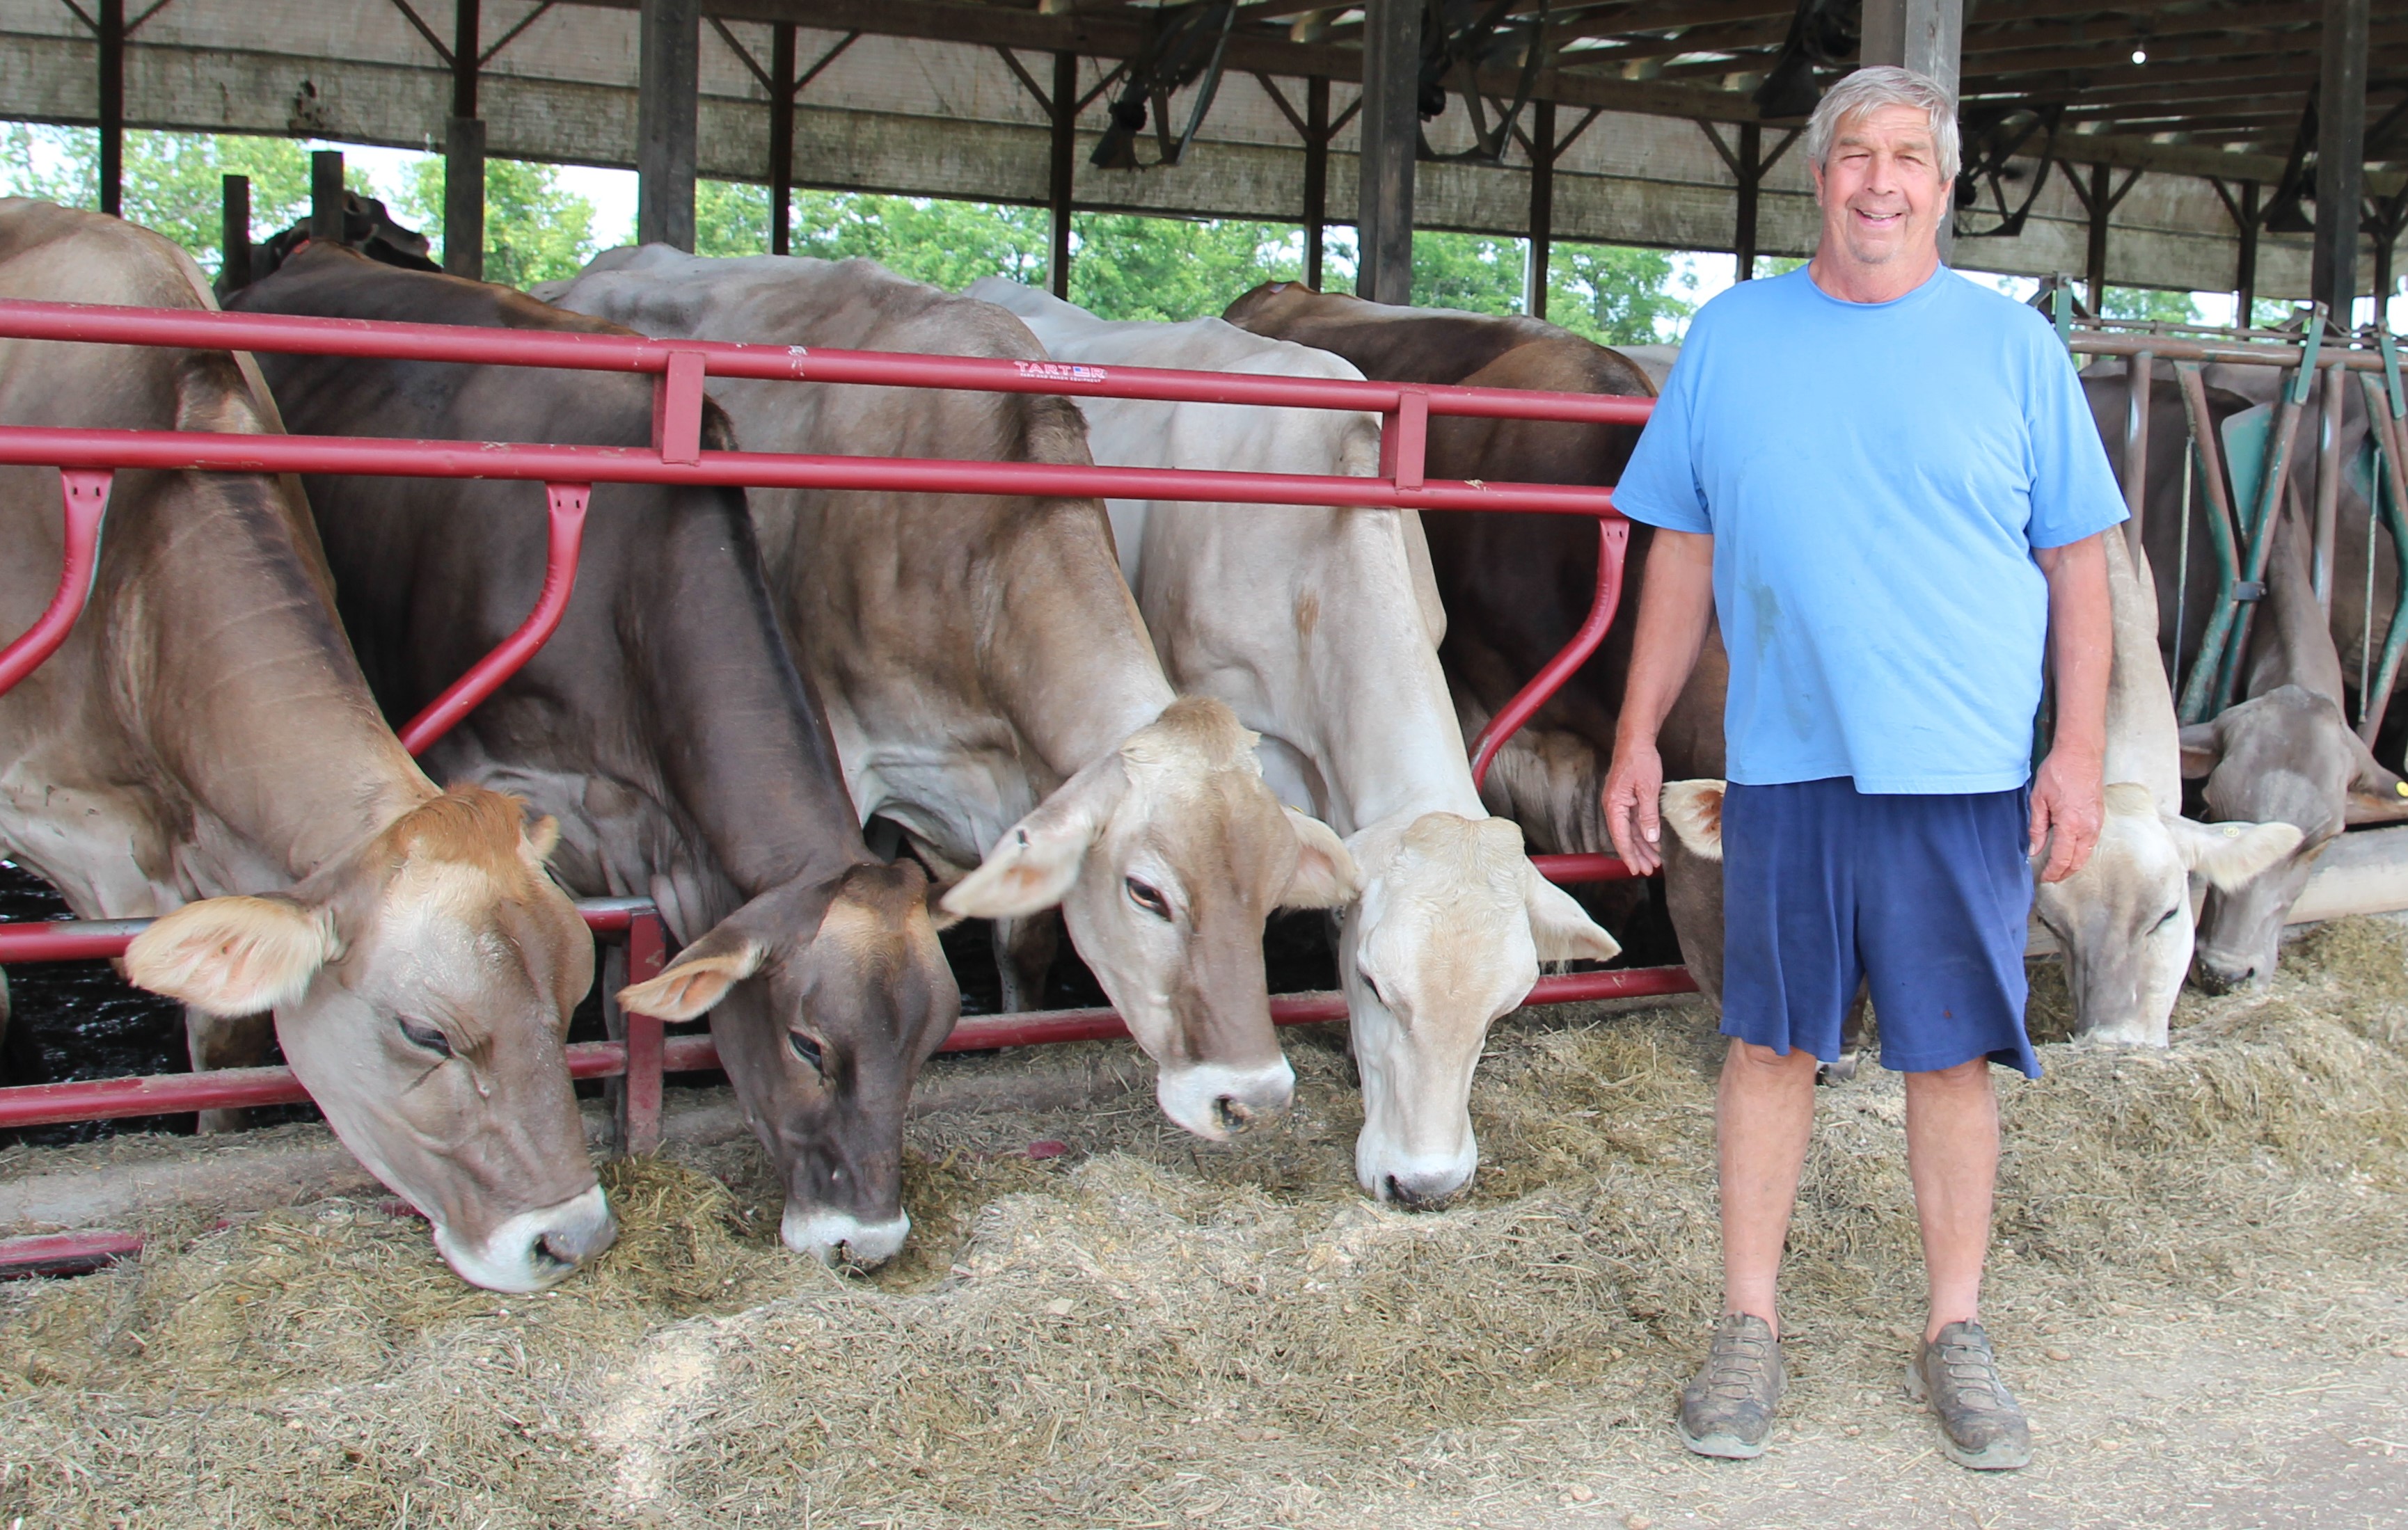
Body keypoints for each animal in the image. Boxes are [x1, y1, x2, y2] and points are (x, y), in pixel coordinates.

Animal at [539, 251, 1358, 1135]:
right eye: (1146, 893)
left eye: (1272, 892)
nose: (1252, 1097)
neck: (974, 554)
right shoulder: (844, 751)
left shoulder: (1026, 787)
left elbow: (1023, 939)